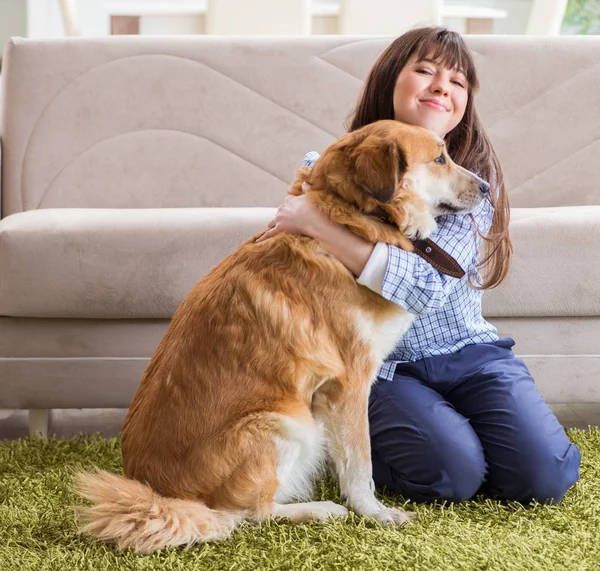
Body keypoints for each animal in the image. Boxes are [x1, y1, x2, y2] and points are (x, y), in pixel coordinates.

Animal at [74, 119, 488, 556]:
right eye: (440, 158)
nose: (486, 188)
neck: (353, 218)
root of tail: (160, 494)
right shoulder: (350, 381)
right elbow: (361, 462)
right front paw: (374, 512)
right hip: (282, 423)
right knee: (246, 514)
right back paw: (321, 510)